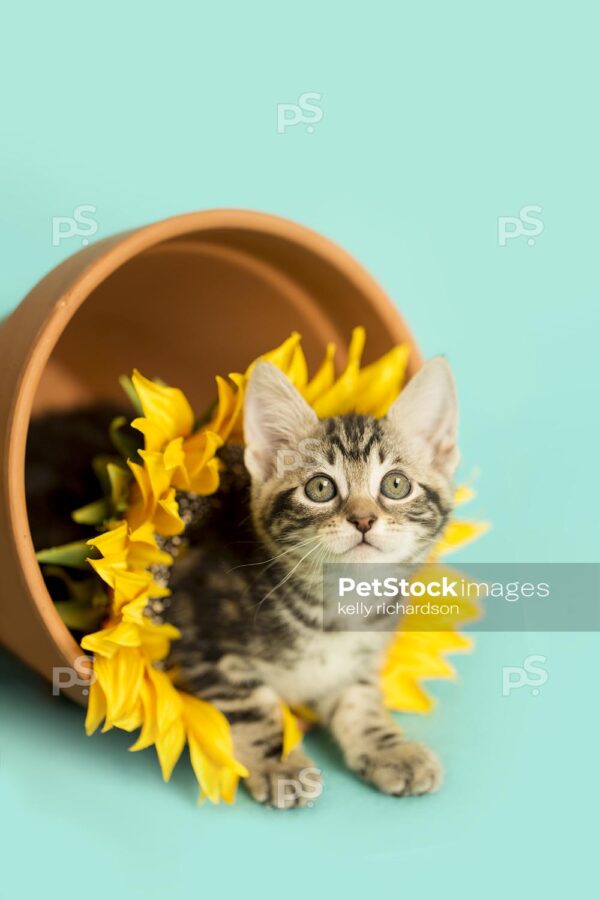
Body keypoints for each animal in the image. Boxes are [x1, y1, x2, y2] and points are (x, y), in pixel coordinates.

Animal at [166, 358, 458, 808]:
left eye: (396, 484)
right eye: (320, 488)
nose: (363, 518)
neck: (335, 610)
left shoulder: (359, 661)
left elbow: (360, 702)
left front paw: (389, 750)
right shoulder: (202, 633)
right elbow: (252, 703)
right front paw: (281, 764)